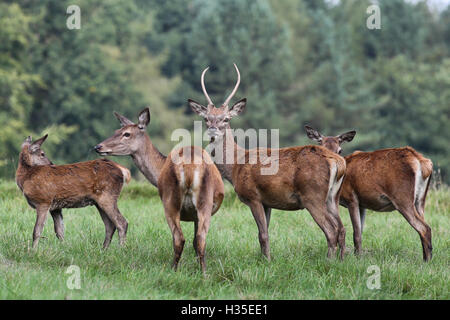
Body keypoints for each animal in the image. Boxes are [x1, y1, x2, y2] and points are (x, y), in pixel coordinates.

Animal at [94, 108, 224, 272]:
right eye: (116, 130)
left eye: (127, 134)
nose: (98, 147)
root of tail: (189, 167)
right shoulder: (195, 215)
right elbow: (195, 241)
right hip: (200, 202)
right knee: (197, 238)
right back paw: (197, 272)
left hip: (173, 200)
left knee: (182, 238)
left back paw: (178, 270)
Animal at [190, 64, 348, 260]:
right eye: (206, 118)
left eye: (226, 119)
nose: (212, 131)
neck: (235, 166)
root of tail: (338, 163)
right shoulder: (268, 202)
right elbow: (265, 233)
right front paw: (266, 258)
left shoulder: (253, 196)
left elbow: (262, 234)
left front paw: (267, 261)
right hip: (333, 196)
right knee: (341, 228)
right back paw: (341, 259)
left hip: (312, 195)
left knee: (331, 230)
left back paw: (329, 261)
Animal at [304, 124, 434, 260]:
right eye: (322, 146)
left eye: (340, 150)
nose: (334, 160)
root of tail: (423, 163)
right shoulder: (363, 204)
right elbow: (360, 232)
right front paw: (359, 256)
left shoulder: (352, 198)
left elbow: (356, 233)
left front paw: (357, 258)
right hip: (420, 200)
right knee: (424, 227)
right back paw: (426, 258)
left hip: (402, 197)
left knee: (424, 228)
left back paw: (427, 261)